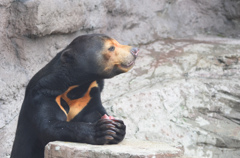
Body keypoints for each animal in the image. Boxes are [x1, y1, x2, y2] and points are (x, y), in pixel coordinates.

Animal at [10, 34, 139, 157]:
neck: (77, 87)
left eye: (117, 42)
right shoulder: (43, 94)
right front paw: (102, 130)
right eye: (111, 47)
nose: (135, 50)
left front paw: (118, 128)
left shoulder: (89, 96)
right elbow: (48, 126)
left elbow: (94, 112)